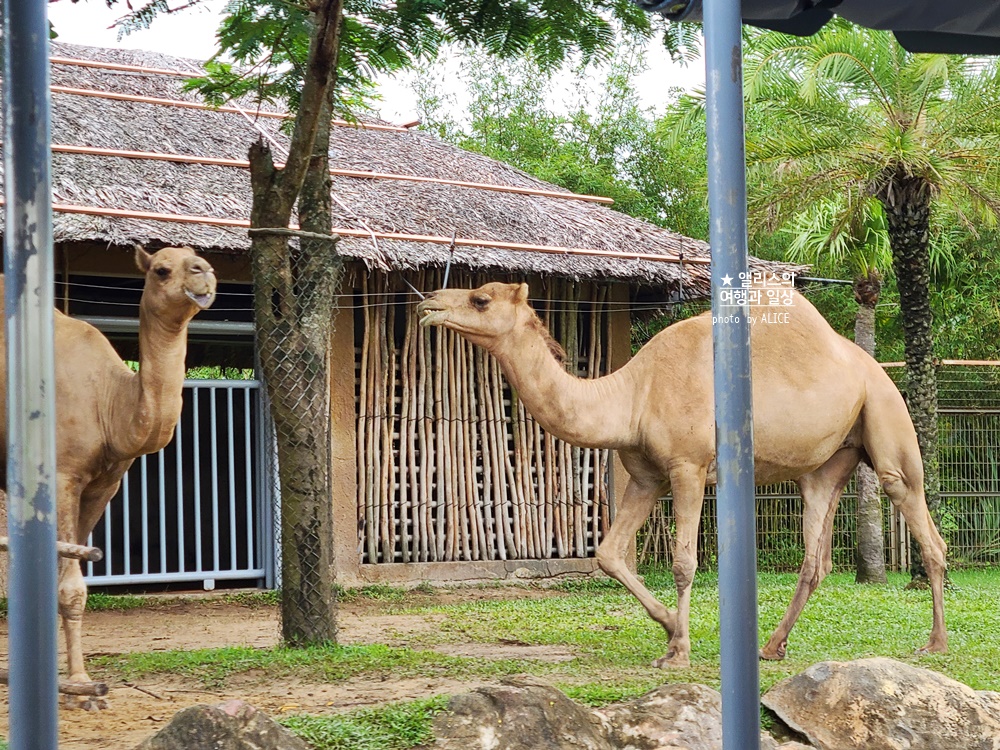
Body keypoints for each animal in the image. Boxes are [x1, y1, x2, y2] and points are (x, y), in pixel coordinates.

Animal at [0, 248, 218, 712]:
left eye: (198, 259)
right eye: (162, 269)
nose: (204, 274)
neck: (109, 399)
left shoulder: (104, 484)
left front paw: (68, 683)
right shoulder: (63, 475)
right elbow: (71, 587)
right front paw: (83, 687)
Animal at [418, 282, 948, 668]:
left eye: (480, 299)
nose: (428, 304)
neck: (633, 395)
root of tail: (871, 366)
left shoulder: (687, 468)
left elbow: (684, 562)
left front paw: (678, 651)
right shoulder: (645, 478)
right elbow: (608, 554)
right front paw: (671, 628)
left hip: (886, 415)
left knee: (924, 526)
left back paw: (934, 644)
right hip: (825, 466)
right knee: (816, 559)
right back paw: (771, 646)